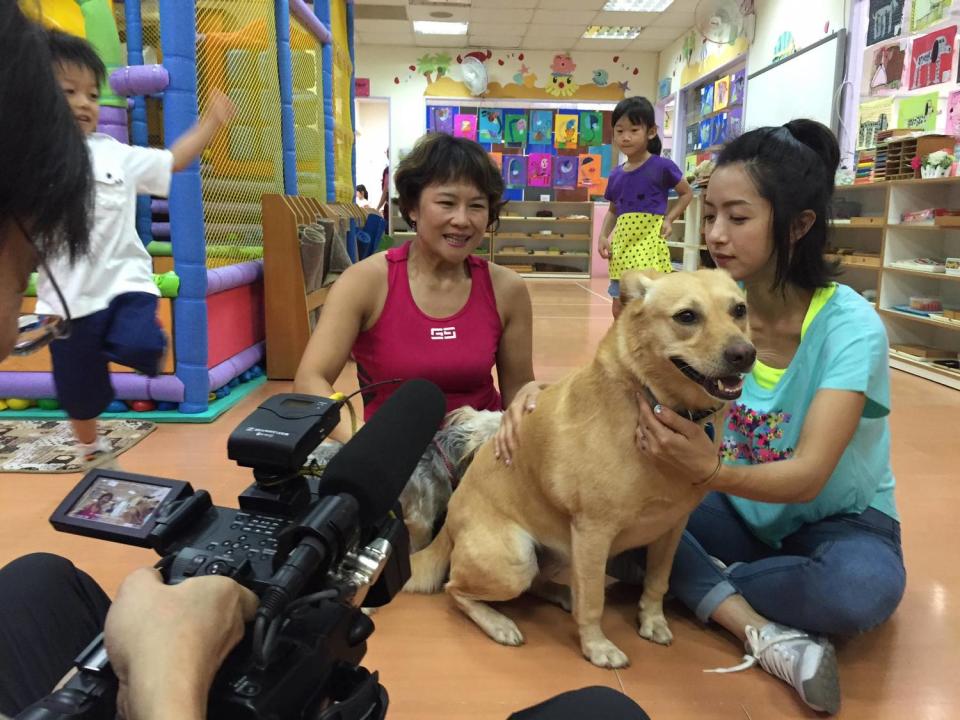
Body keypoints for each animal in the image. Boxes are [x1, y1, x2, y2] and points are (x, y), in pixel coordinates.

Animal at [404, 270, 756, 668]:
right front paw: (597, 647)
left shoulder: (672, 528)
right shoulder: (593, 532)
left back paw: (560, 594)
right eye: (686, 316)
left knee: (535, 584)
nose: (745, 355)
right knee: (456, 590)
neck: (653, 401)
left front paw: (652, 621)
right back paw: (499, 623)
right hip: (516, 558)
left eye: (739, 309)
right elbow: (593, 602)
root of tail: (448, 523)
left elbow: (657, 581)